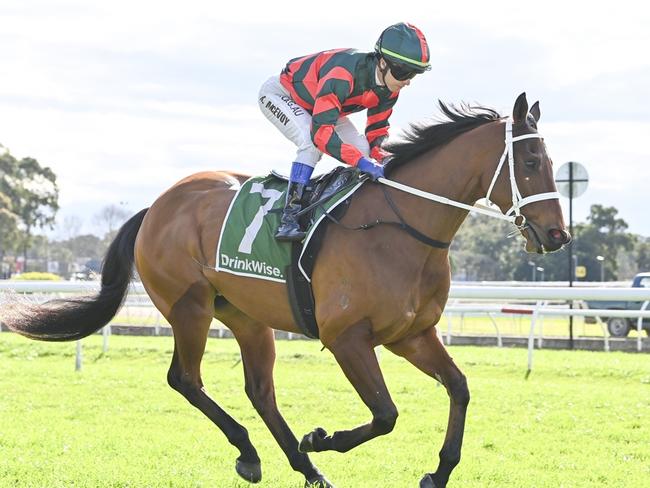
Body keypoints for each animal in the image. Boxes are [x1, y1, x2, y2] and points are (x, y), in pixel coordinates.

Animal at [1, 92, 568, 488]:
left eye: (551, 163)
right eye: (531, 163)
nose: (558, 235)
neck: (400, 227)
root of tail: (156, 206)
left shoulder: (411, 335)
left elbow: (460, 388)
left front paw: (438, 470)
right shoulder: (347, 338)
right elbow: (385, 414)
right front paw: (323, 438)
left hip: (247, 317)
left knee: (259, 390)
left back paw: (304, 467)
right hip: (189, 306)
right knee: (185, 379)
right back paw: (255, 454)